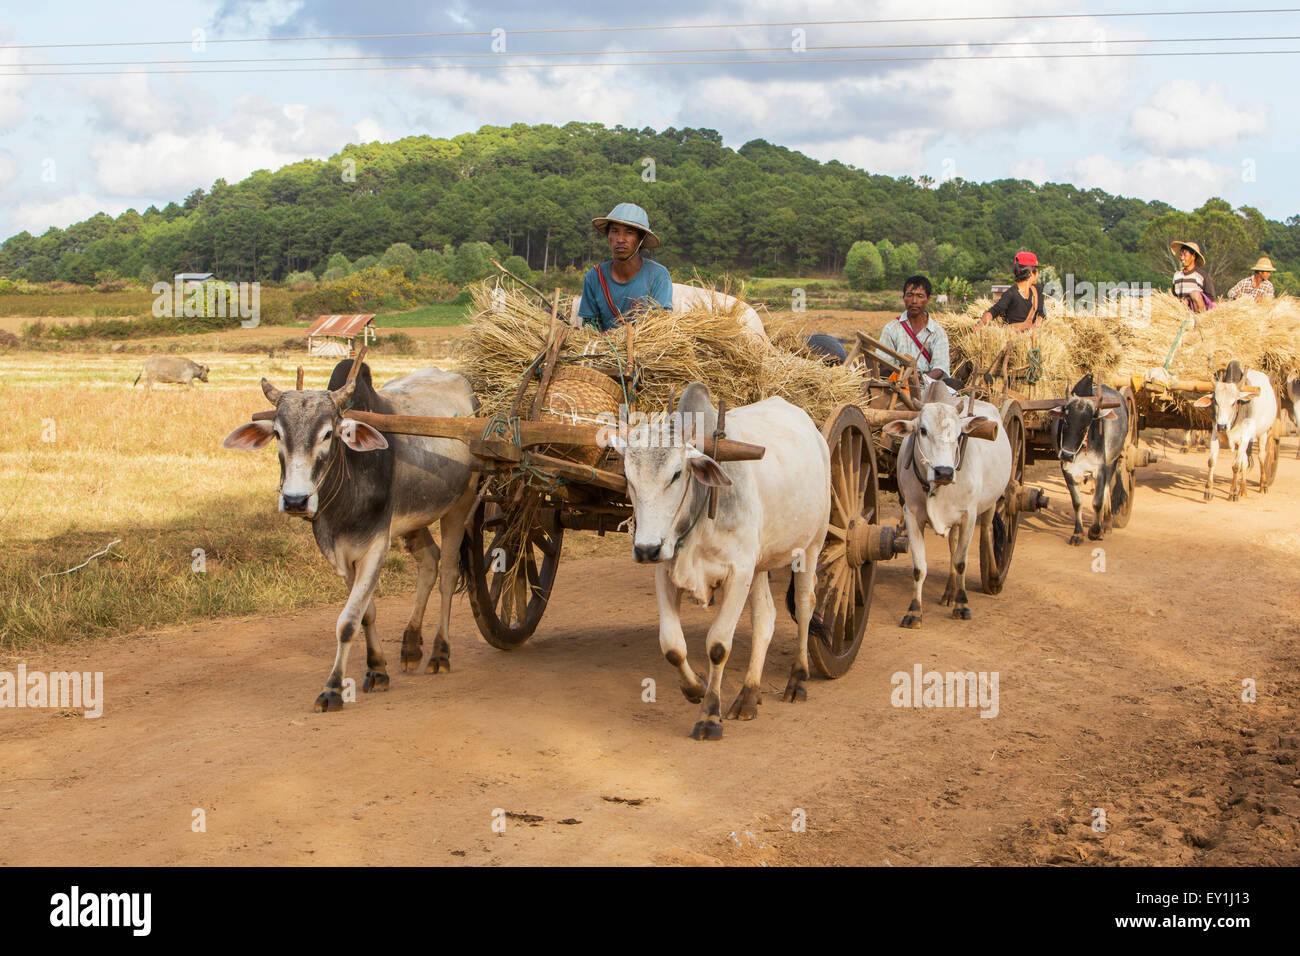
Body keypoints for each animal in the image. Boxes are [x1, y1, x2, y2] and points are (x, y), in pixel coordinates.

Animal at [220, 358, 480, 712]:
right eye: (277, 433)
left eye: (328, 434)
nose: (295, 500)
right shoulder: (339, 555)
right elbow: (365, 613)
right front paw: (377, 669)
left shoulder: (376, 547)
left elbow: (347, 622)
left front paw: (332, 689)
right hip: (416, 517)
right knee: (429, 562)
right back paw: (411, 646)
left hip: (459, 504)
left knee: (449, 573)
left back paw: (440, 653)